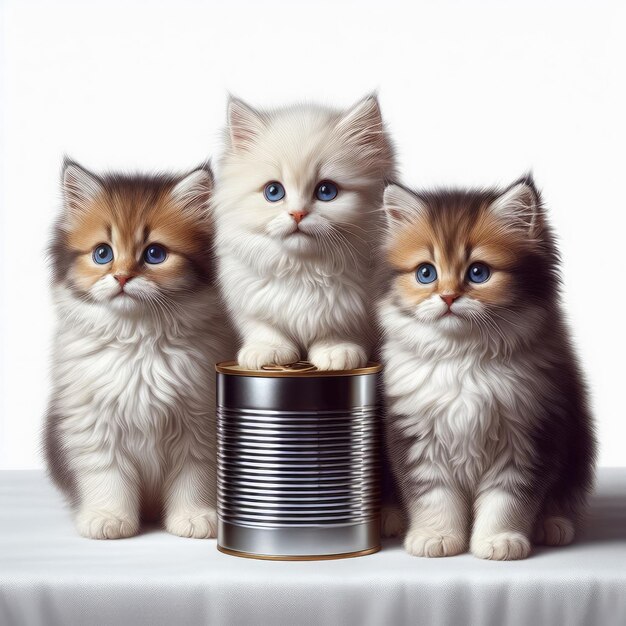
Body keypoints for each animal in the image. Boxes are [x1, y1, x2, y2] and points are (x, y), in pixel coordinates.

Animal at [44, 158, 234, 540]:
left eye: (154, 254)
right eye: (103, 253)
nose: (121, 277)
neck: (138, 342)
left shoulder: (199, 425)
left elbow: (194, 477)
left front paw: (194, 517)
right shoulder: (92, 425)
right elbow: (107, 476)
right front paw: (108, 518)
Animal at [212, 92, 392, 366]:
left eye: (326, 191)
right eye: (273, 191)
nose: (297, 214)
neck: (303, 270)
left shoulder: (356, 309)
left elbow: (338, 330)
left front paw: (336, 351)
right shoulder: (248, 300)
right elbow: (265, 328)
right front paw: (268, 351)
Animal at [376, 177, 596, 560]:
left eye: (478, 273)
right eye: (426, 273)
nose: (448, 297)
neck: (463, 358)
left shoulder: (529, 434)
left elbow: (507, 500)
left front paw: (499, 541)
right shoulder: (416, 436)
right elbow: (433, 495)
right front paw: (435, 536)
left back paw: (552, 524)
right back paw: (391, 518)